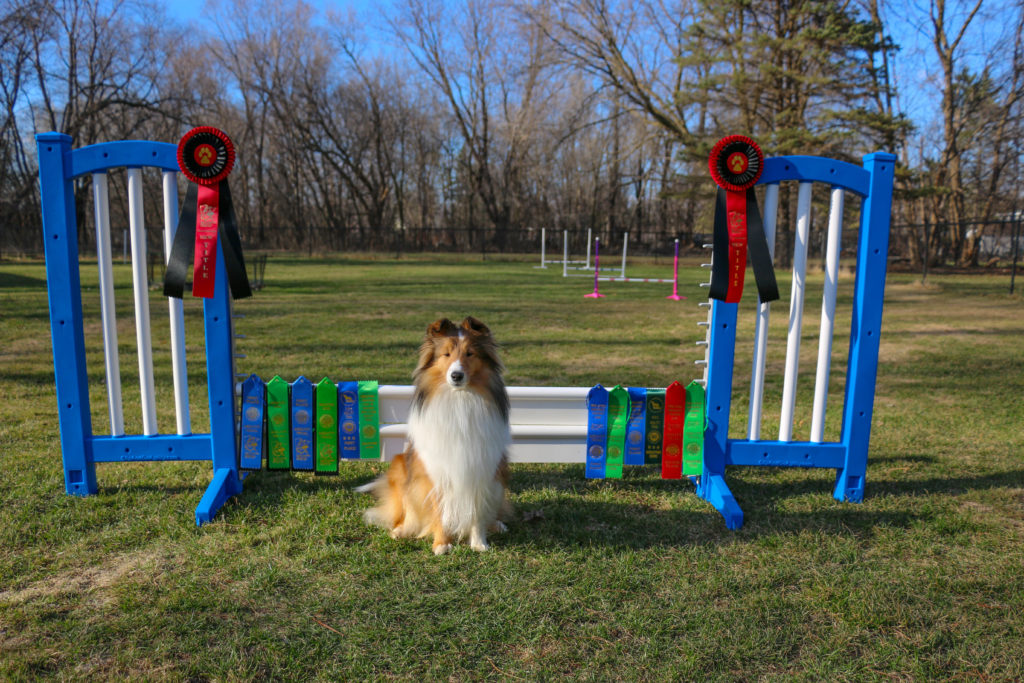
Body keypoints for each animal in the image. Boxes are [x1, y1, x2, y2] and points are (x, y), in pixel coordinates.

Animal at [358, 317, 512, 552]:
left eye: (470, 354)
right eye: (446, 354)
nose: (456, 376)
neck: (459, 400)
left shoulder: (480, 468)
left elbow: (477, 512)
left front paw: (479, 544)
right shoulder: (435, 472)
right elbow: (439, 511)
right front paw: (442, 543)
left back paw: (496, 524)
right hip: (401, 468)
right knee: (406, 512)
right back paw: (401, 530)